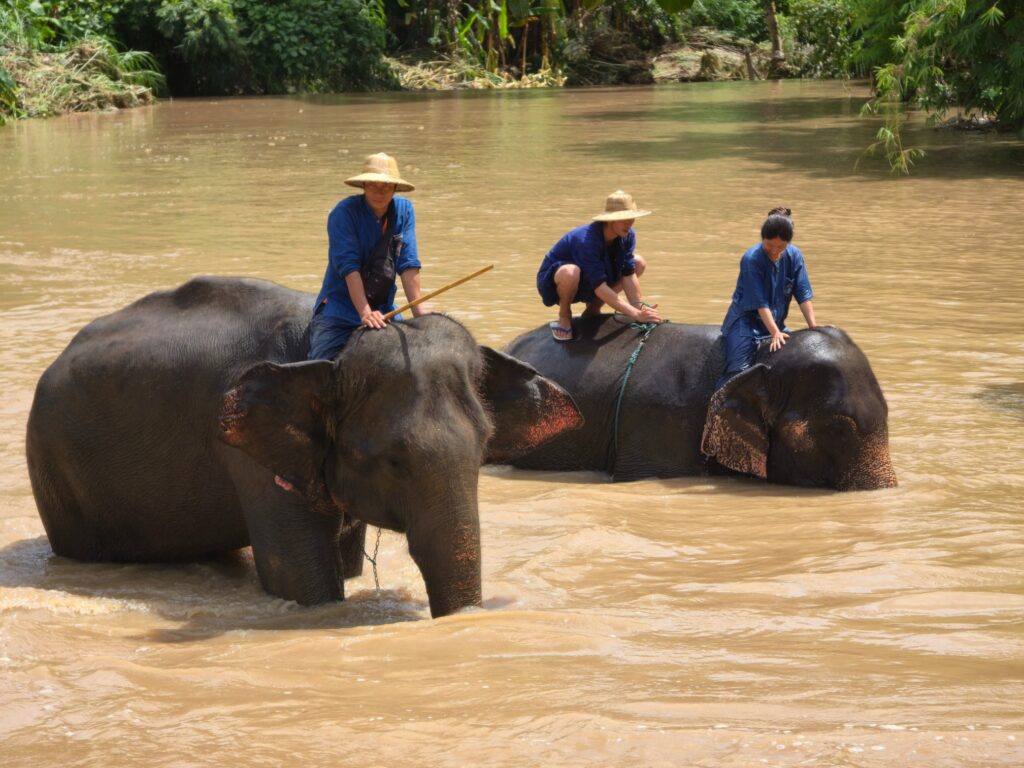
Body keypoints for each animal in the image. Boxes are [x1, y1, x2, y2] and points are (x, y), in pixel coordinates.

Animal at [26, 276, 583, 618]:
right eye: (392, 460)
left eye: (485, 448)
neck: (329, 355)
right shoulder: (246, 453)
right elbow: (301, 581)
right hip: (57, 475)